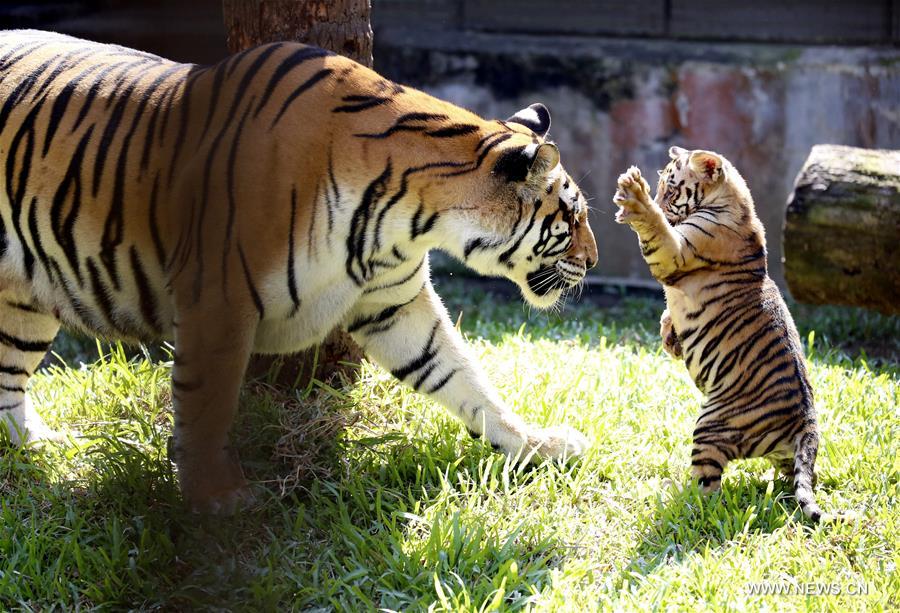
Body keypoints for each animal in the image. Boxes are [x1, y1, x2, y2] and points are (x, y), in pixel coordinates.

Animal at [0, 32, 596, 512]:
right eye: (572, 218)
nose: (592, 261)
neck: (408, 214)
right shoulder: (217, 304)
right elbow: (206, 403)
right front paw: (216, 497)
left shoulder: (395, 304)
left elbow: (463, 377)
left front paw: (536, 446)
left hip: (22, 305)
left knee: (8, 384)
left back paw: (42, 447)